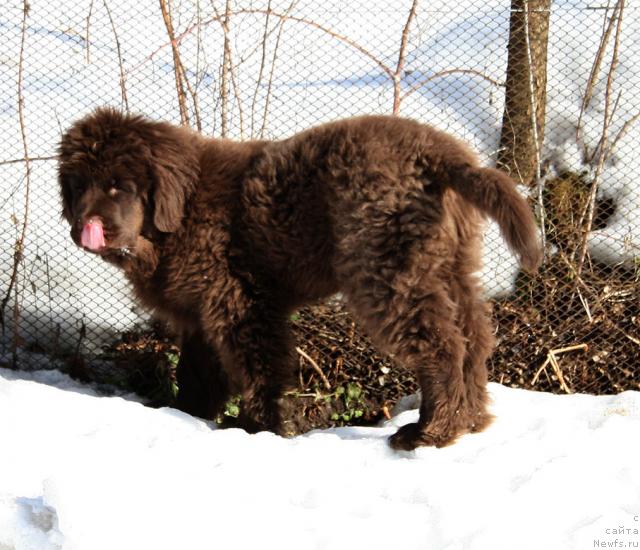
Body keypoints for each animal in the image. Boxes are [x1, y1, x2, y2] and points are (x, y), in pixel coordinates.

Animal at [58, 109, 540, 452]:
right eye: (78, 185)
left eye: (119, 186)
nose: (85, 226)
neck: (176, 220)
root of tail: (439, 154)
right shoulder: (197, 312)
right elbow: (197, 370)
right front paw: (188, 415)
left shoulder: (238, 301)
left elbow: (259, 367)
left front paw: (262, 427)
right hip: (449, 265)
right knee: (474, 339)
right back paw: (470, 419)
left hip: (386, 267)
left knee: (441, 346)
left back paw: (430, 431)